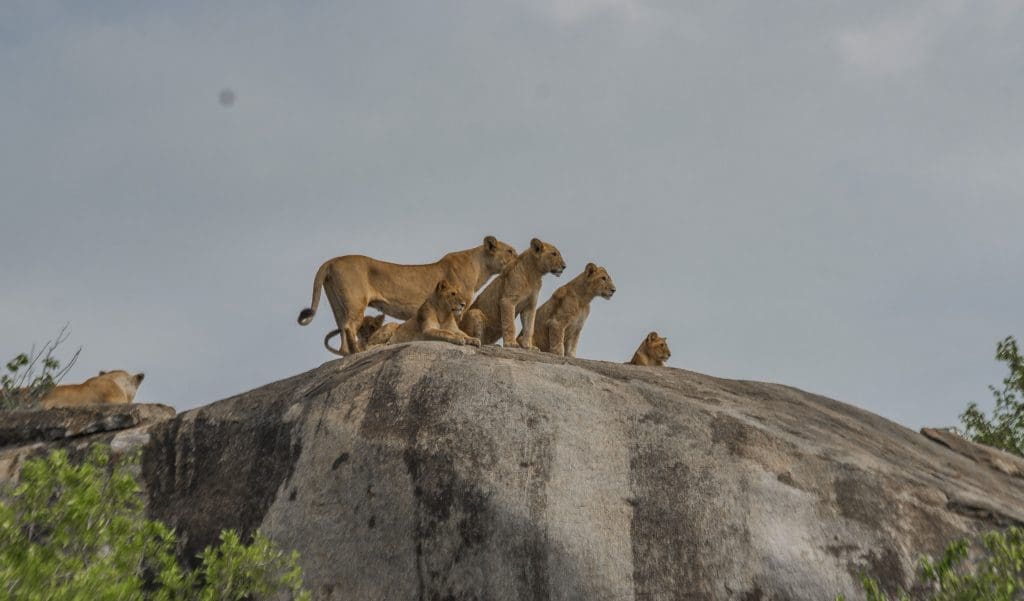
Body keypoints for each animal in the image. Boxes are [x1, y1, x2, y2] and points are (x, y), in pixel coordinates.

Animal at [298, 235, 517, 355]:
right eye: (510, 251)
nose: (519, 256)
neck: (480, 266)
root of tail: (331, 261)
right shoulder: (459, 307)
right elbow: (459, 328)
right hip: (355, 303)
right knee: (350, 328)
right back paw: (359, 352)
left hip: (337, 304)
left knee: (343, 333)